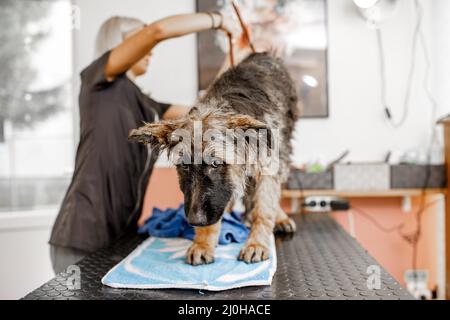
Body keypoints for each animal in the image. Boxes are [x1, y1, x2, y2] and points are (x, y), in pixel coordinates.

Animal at [128, 52, 300, 264]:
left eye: (216, 164)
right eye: (184, 166)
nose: (194, 221)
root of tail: (262, 53)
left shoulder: (269, 166)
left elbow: (263, 210)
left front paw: (256, 243)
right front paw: (203, 242)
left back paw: (280, 218)